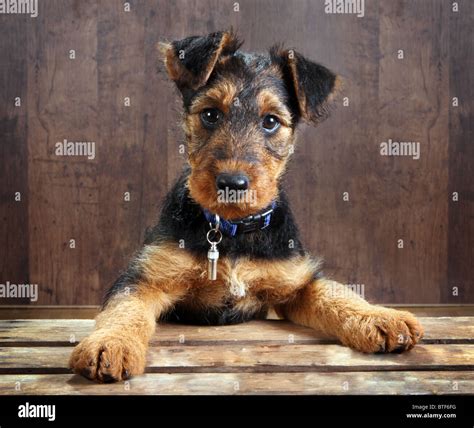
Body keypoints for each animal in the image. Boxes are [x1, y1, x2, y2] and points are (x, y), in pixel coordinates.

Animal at [71, 31, 426, 382]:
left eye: (270, 121)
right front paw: (109, 345)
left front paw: (381, 318)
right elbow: (123, 309)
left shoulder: (298, 281)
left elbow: (337, 293)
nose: (232, 183)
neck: (232, 230)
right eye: (210, 114)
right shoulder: (146, 278)